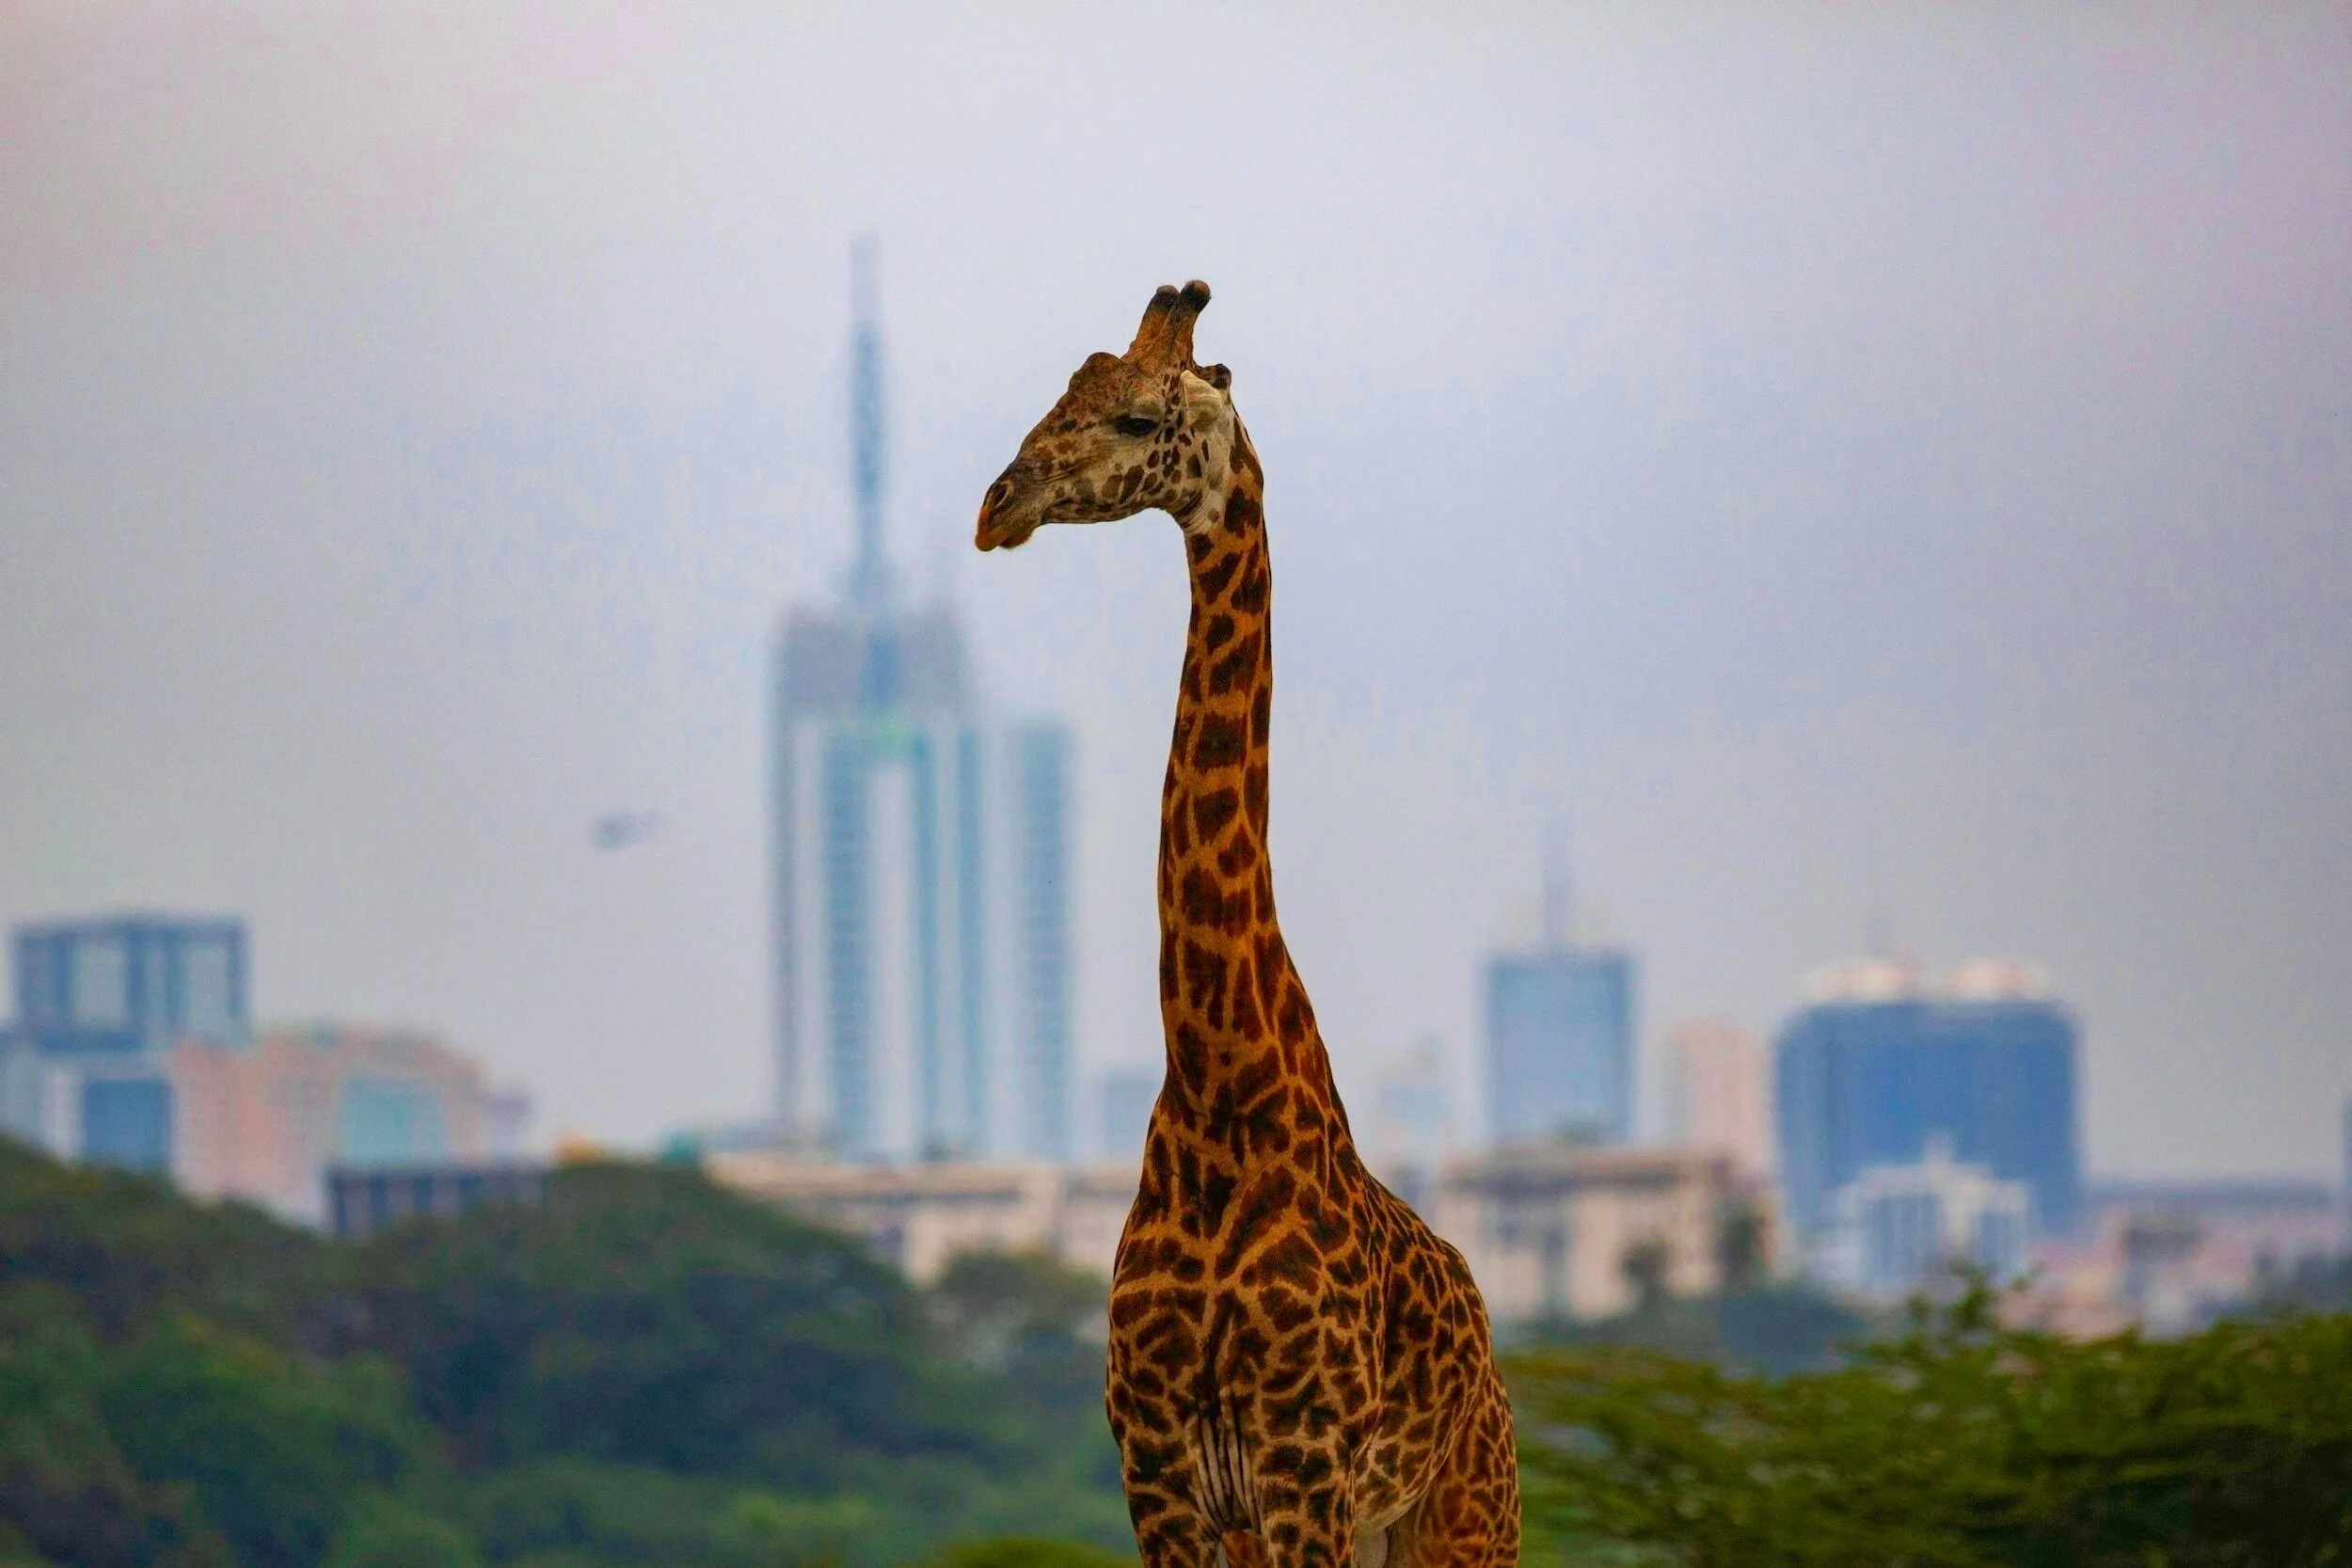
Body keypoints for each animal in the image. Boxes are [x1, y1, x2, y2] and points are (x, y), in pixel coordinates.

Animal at [975, 282, 1520, 1568]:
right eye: (1061, 390)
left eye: (1134, 417)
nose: (995, 508)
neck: (1218, 1077)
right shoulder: (1161, 1470)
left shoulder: (1300, 1464)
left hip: (1461, 1513)